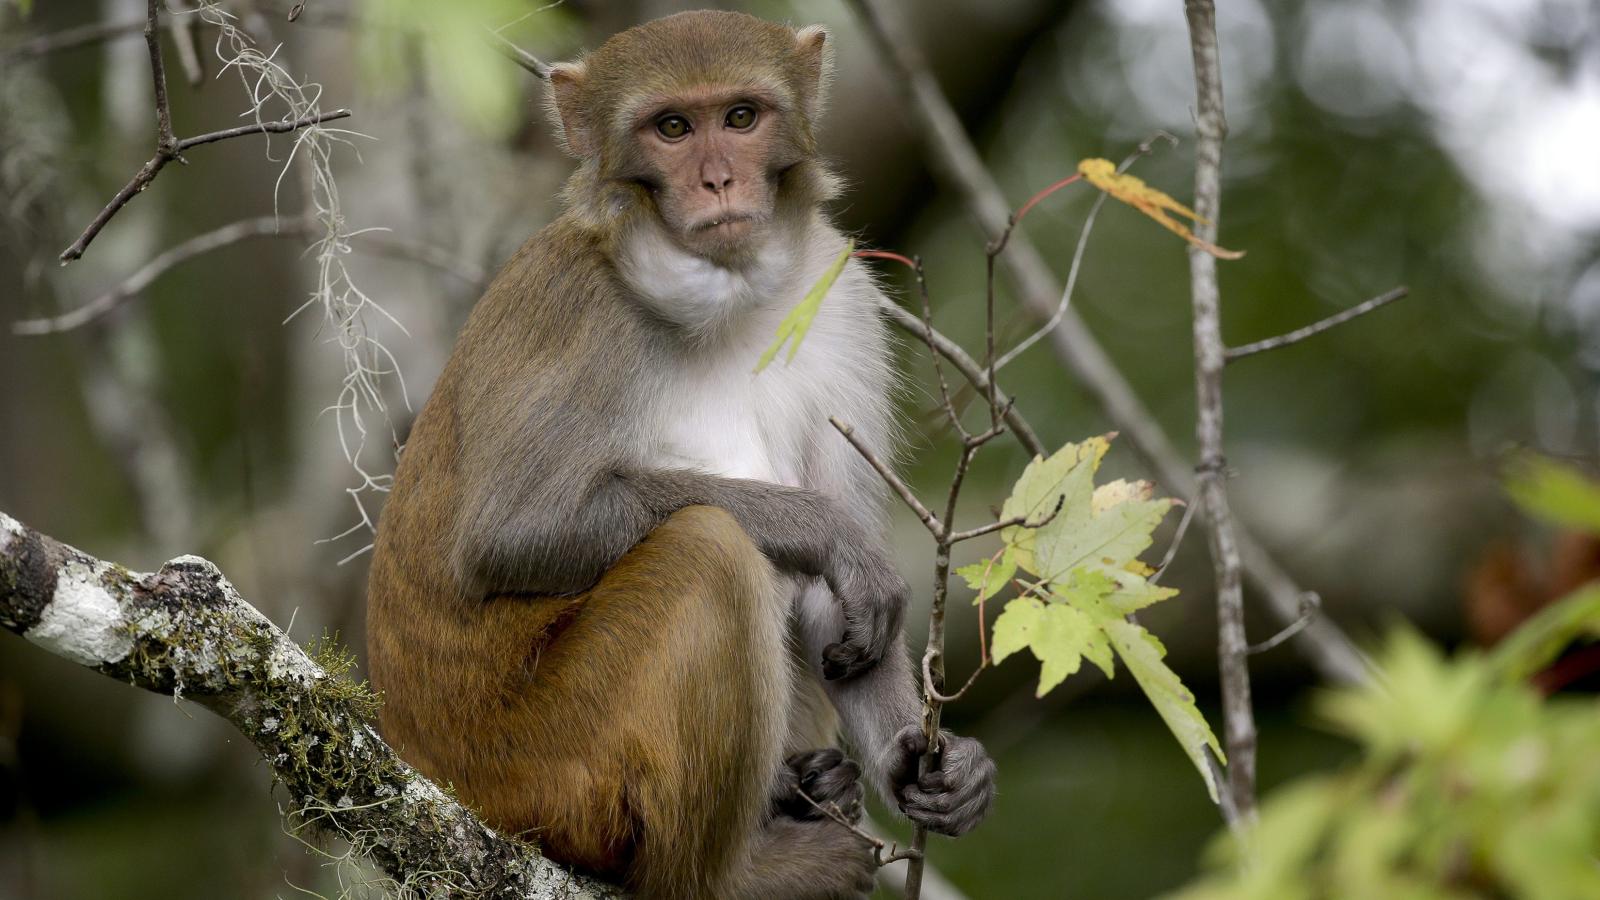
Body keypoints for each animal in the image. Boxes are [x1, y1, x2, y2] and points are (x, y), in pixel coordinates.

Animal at [364, 8, 992, 896]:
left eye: (741, 117)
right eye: (671, 129)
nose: (718, 181)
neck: (727, 297)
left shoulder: (841, 302)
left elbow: (842, 617)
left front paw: (935, 768)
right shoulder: (576, 307)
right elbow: (511, 536)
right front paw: (825, 529)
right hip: (546, 766)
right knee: (709, 551)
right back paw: (742, 875)